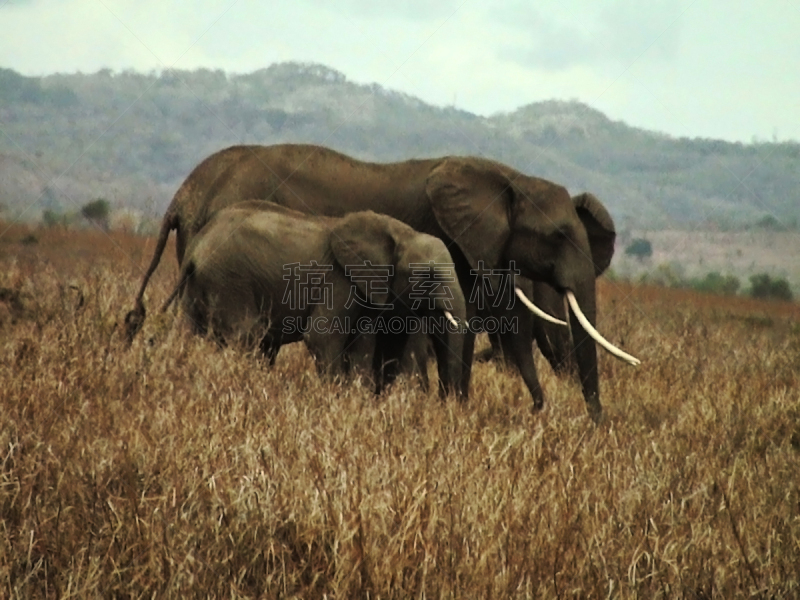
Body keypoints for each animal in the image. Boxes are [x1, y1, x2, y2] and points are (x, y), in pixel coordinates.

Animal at [169, 203, 468, 398]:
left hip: (201, 286)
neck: (400, 233)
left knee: (193, 333)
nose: (445, 405)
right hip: (229, 279)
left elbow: (361, 343)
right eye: (428, 275)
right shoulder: (339, 279)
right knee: (249, 335)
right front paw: (338, 399)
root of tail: (197, 245)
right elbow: (322, 336)